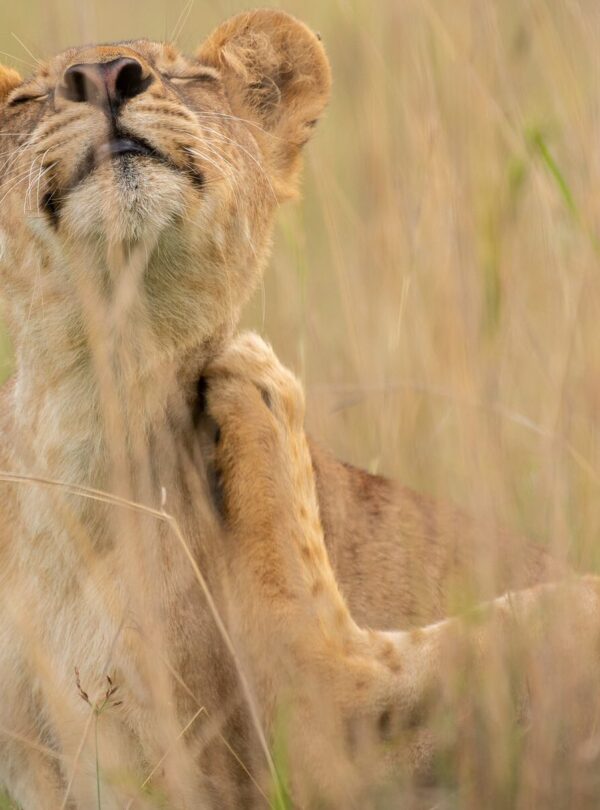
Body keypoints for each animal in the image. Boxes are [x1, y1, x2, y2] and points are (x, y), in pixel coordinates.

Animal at [0, 8, 599, 809]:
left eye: (188, 77)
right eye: (23, 101)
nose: (103, 76)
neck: (101, 399)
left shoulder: (201, 770)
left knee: (331, 682)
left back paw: (258, 385)